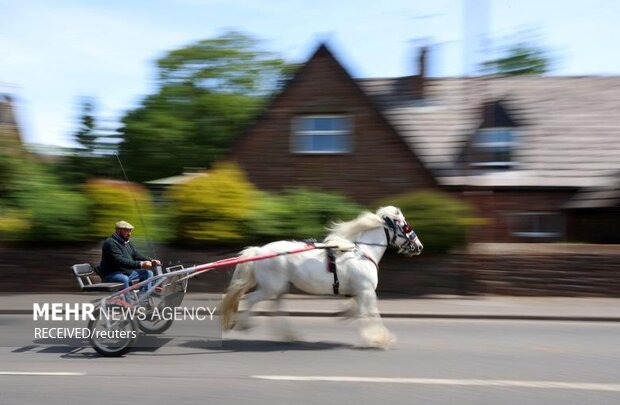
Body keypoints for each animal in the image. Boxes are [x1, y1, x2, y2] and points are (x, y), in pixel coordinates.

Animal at [220, 205, 424, 348]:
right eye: (406, 226)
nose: (419, 246)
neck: (363, 253)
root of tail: (259, 251)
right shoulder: (367, 291)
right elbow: (372, 314)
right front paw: (381, 339)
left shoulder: (360, 293)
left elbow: (362, 314)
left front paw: (365, 331)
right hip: (271, 287)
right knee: (251, 299)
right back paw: (245, 325)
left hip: (280, 288)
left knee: (276, 309)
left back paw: (289, 336)